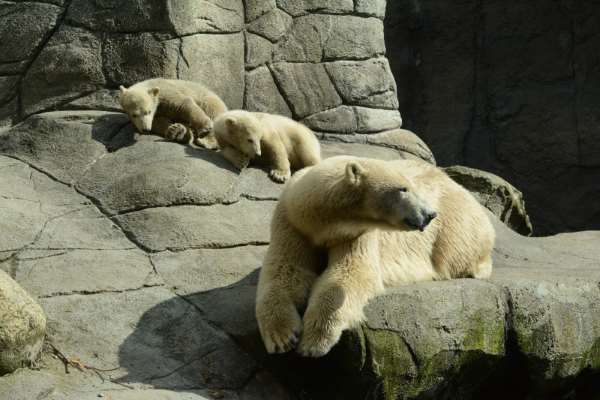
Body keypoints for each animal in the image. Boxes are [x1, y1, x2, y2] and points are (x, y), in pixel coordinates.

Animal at [255, 155, 494, 356]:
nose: (430, 214)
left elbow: (350, 273)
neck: (320, 220)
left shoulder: (357, 233)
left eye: (411, 187)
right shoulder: (292, 223)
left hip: (455, 223)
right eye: (403, 189)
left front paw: (314, 341)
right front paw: (282, 337)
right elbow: (286, 271)